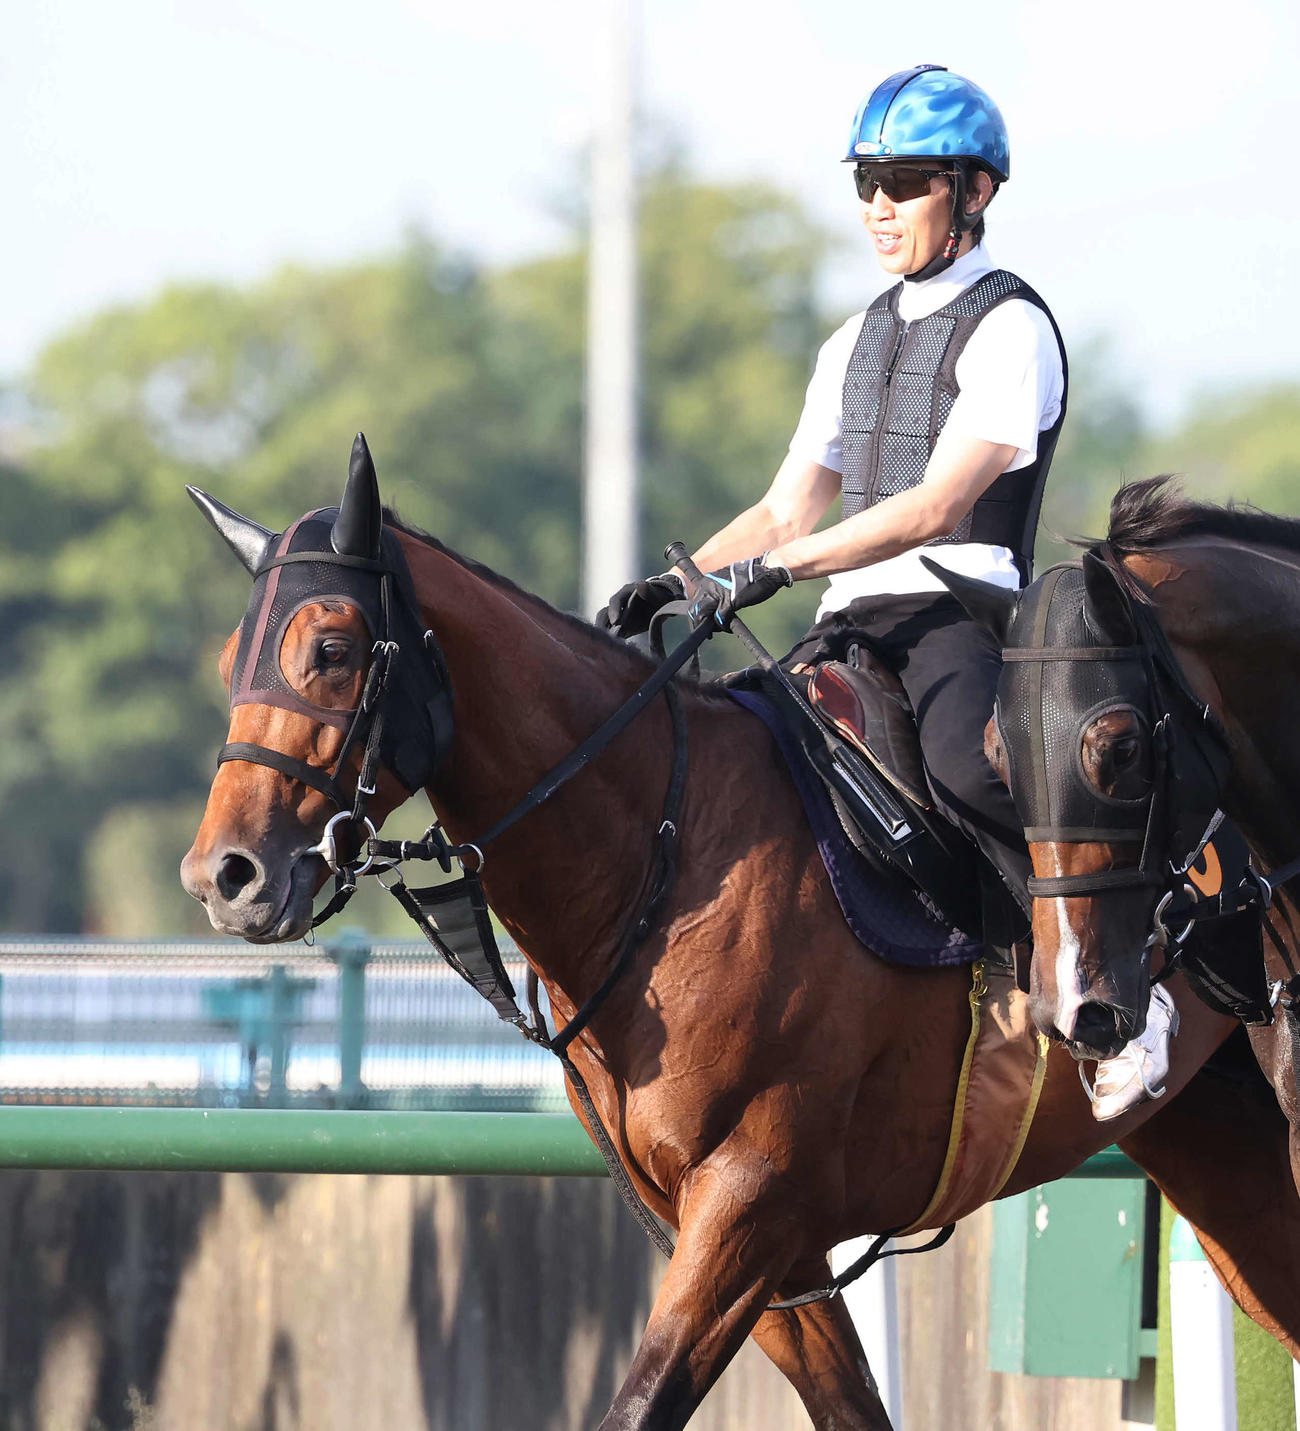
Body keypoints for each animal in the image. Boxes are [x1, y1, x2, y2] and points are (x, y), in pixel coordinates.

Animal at [181, 446, 1300, 1430]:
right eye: (232, 659)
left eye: (329, 649)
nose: (225, 877)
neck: (666, 854)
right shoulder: (761, 1246)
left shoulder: (748, 1207)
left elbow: (639, 1406)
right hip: (1219, 1138)